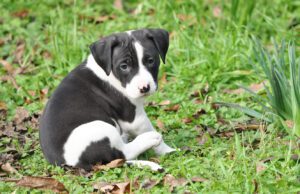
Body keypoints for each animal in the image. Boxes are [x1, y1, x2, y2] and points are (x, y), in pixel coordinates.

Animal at [40, 28, 176, 171]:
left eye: (150, 61)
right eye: (124, 66)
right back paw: (150, 139)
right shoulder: (134, 119)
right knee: (124, 153)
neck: (109, 72)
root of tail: (72, 164)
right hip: (101, 127)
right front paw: (168, 150)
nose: (144, 87)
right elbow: (150, 130)